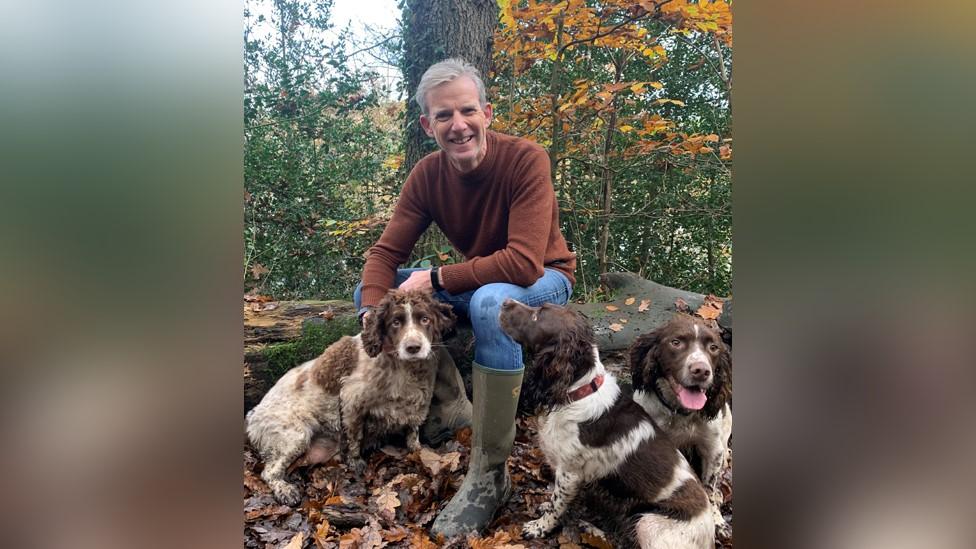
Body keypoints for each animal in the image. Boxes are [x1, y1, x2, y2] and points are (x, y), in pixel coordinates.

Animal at [246, 288, 456, 504]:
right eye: (395, 322)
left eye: (425, 319)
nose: (413, 347)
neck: (404, 368)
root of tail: (252, 414)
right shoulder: (351, 400)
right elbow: (354, 437)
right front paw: (356, 463)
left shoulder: (417, 403)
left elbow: (413, 433)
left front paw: (420, 452)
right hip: (295, 435)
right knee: (269, 471)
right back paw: (285, 490)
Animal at [500, 300, 712, 548]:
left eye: (537, 316)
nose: (505, 302)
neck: (578, 392)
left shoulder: (569, 472)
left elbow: (557, 503)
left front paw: (540, 527)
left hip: (648, 521)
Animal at [632, 314, 732, 532]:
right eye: (676, 342)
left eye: (713, 347)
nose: (701, 371)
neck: (681, 413)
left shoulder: (712, 449)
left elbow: (710, 488)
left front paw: (716, 520)